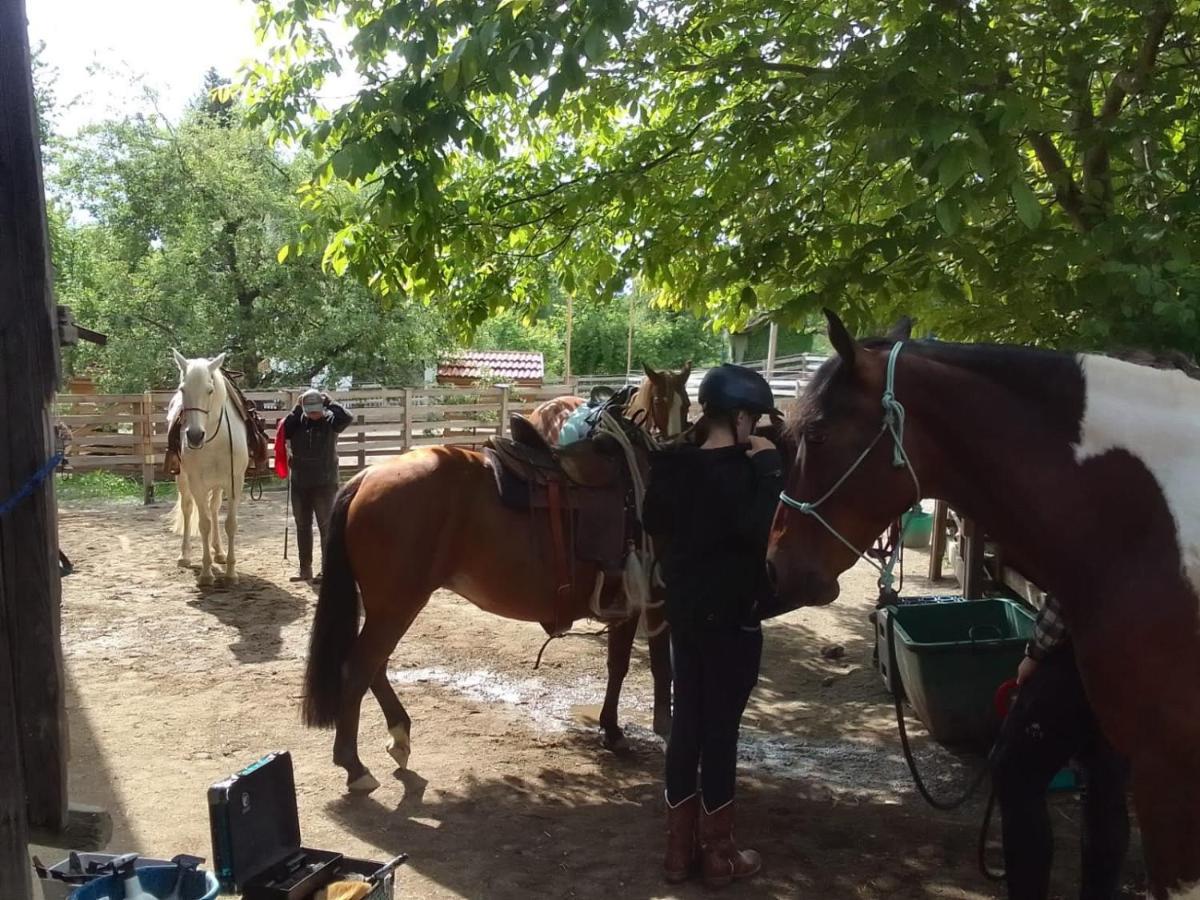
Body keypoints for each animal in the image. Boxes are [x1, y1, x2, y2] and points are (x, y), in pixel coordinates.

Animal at [166, 348, 248, 588]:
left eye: (210, 390)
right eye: (183, 389)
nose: (194, 436)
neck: (215, 438)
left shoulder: (235, 482)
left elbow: (230, 523)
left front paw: (231, 572)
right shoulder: (197, 484)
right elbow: (204, 524)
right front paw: (206, 572)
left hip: (219, 485)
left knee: (214, 508)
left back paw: (219, 552)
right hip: (183, 481)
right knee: (188, 508)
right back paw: (185, 556)